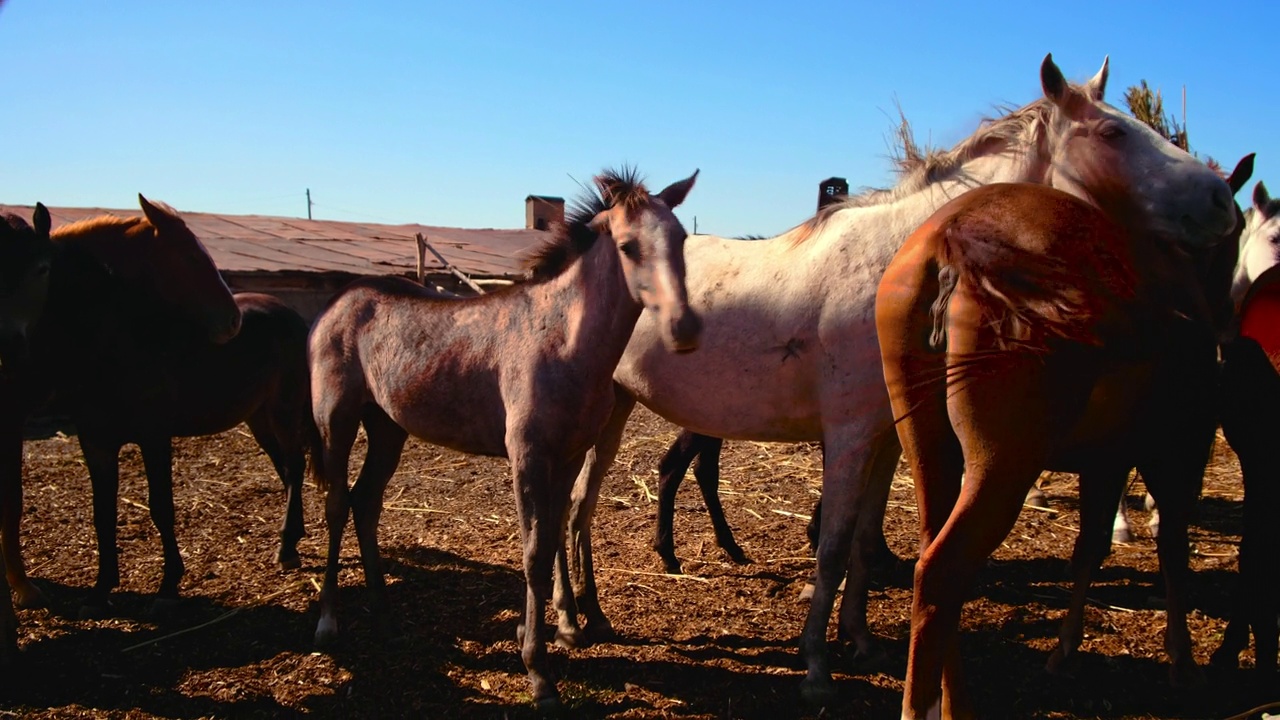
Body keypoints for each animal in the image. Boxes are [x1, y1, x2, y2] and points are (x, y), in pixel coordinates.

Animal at [305, 166, 706, 707]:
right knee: (335, 506)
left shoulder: (568, 455)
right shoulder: (527, 457)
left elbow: (551, 534)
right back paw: (328, 621)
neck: (561, 341)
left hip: (388, 428)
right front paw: (538, 671)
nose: (685, 328)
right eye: (627, 246)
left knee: (366, 503)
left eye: (681, 239)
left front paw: (555, 631)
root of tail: (338, 302)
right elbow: (533, 552)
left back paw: (385, 614)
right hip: (337, 422)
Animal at [555, 53, 1233, 702]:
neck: (889, 263)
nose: (1222, 200)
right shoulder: (850, 436)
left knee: (581, 503)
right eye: (1114, 132)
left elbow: (860, 541)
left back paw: (590, 613)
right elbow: (832, 545)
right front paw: (816, 666)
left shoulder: (885, 437)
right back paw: (569, 618)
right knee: (568, 501)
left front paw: (859, 640)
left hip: (615, 410)